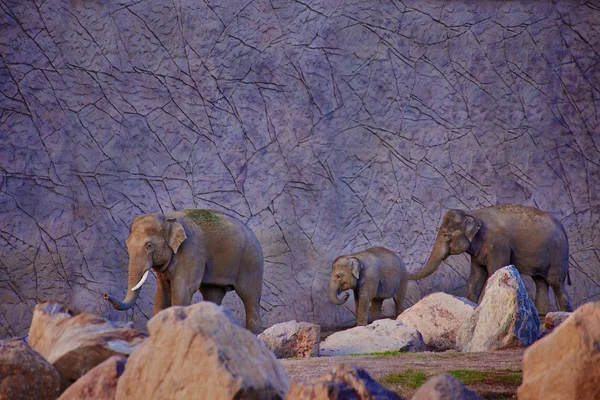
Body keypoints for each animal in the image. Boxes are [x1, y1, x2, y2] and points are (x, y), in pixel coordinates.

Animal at [104, 208, 264, 332]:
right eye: (127, 244)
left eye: (149, 246)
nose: (105, 295)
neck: (167, 218)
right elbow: (162, 292)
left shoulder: (190, 251)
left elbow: (182, 289)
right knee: (212, 294)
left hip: (251, 262)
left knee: (249, 296)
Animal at [412, 205, 572, 314]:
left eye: (445, 235)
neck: (472, 212)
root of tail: (563, 228)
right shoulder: (477, 252)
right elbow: (476, 278)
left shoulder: (499, 246)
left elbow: (494, 273)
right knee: (540, 282)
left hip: (558, 253)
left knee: (555, 282)